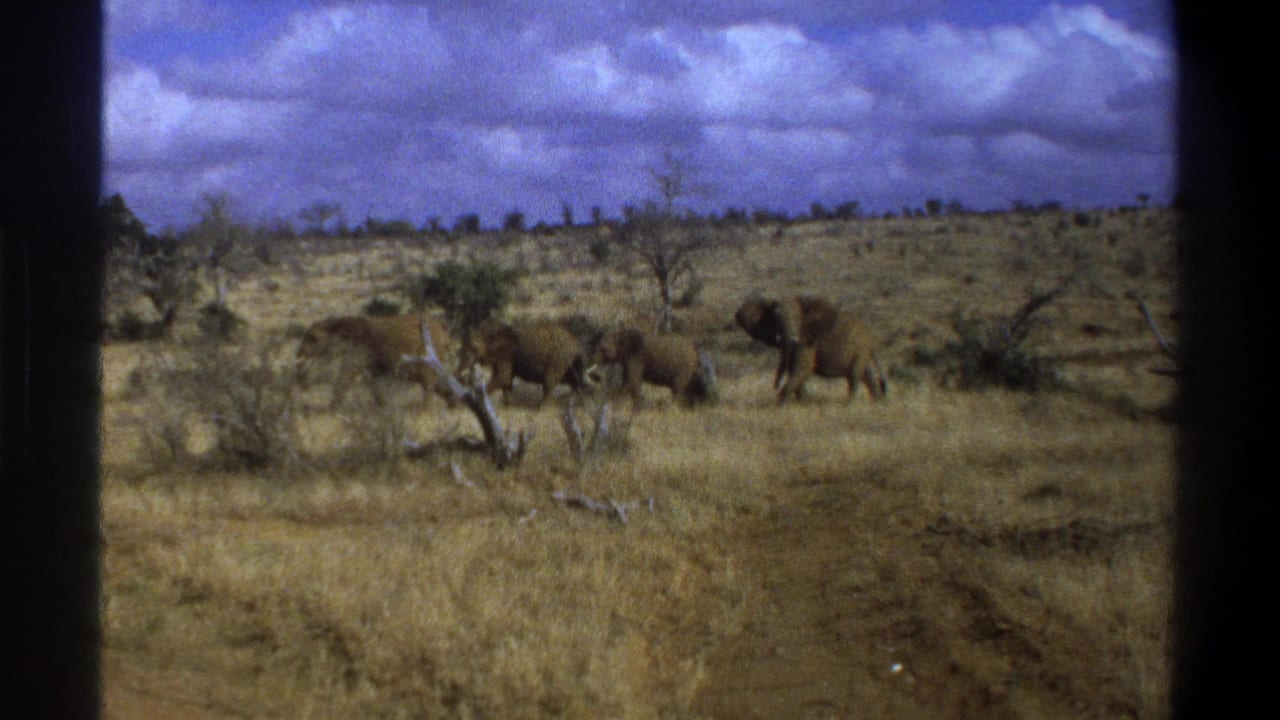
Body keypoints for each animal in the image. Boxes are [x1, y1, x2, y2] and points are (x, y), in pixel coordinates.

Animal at [295, 313, 455, 405]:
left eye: (311, 338)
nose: (298, 353)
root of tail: (445, 334)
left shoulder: (357, 351)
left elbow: (346, 378)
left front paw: (332, 409)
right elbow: (375, 385)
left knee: (429, 386)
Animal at [457, 319, 593, 407]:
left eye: (474, 348)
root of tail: (577, 345)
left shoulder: (506, 355)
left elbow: (502, 379)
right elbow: (505, 382)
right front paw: (508, 406)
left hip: (558, 360)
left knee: (549, 384)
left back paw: (541, 410)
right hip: (569, 364)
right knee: (574, 383)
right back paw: (580, 406)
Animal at [735, 295, 887, 403]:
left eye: (797, 318)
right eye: (775, 319)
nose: (775, 387)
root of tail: (873, 339)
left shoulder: (807, 343)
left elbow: (803, 368)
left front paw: (781, 405)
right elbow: (796, 369)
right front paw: (802, 402)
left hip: (860, 349)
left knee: (854, 375)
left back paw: (851, 404)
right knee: (866, 375)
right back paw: (877, 401)